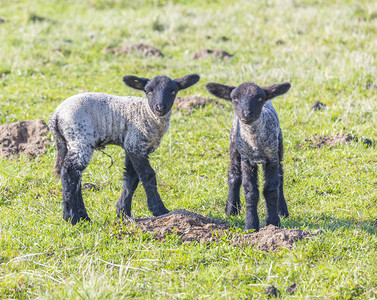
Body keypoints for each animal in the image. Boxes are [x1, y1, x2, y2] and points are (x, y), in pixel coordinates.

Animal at [50, 74, 200, 224]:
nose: (160, 107)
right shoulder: (135, 143)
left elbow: (131, 178)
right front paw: (160, 210)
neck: (147, 113)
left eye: (173, 91)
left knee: (75, 176)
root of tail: (56, 116)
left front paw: (123, 213)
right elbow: (148, 175)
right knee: (70, 172)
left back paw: (83, 217)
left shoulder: (131, 145)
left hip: (68, 142)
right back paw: (72, 218)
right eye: (148, 91)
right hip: (80, 137)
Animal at [206, 79, 290, 230]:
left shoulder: (272, 157)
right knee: (233, 174)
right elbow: (250, 191)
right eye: (235, 98)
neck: (255, 141)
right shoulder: (246, 159)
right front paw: (250, 225)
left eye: (260, 98)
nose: (246, 113)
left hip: (279, 147)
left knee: (280, 176)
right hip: (234, 145)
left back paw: (282, 210)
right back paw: (231, 209)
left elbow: (271, 189)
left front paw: (273, 222)